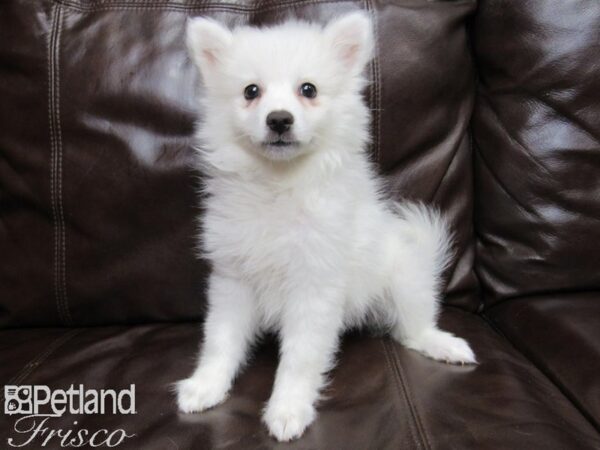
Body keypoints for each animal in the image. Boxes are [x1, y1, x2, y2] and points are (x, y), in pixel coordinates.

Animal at [176, 11, 476, 442]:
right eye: (251, 91)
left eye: (308, 89)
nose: (279, 119)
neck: (279, 186)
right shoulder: (234, 280)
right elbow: (221, 339)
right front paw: (206, 385)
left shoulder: (314, 284)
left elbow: (299, 358)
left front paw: (288, 409)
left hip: (405, 278)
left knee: (412, 328)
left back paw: (444, 345)